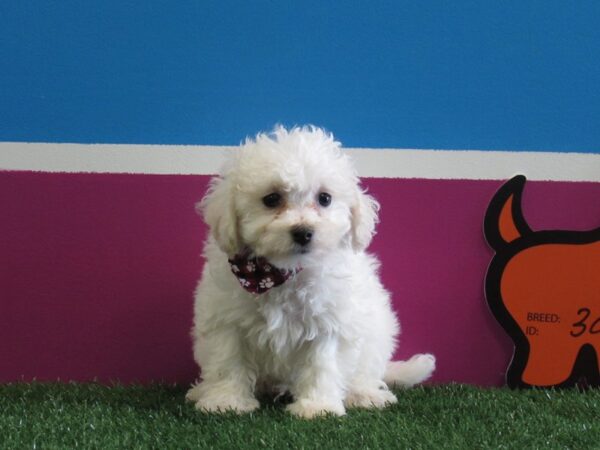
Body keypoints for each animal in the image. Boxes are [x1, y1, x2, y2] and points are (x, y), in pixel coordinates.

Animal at [185, 126, 434, 418]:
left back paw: (365, 395)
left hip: (377, 336)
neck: (280, 273)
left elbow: (322, 364)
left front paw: (318, 407)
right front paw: (225, 401)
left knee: (366, 373)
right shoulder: (226, 319)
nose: (303, 232)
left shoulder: (330, 322)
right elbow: (227, 360)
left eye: (324, 198)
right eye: (271, 199)